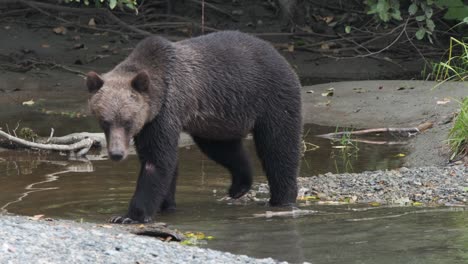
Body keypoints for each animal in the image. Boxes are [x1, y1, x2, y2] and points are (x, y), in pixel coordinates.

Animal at [86, 31, 302, 225]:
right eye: (105, 121)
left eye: (128, 121)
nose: (116, 154)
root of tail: (279, 54)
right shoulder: (151, 121)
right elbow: (166, 163)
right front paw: (166, 204)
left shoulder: (166, 111)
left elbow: (156, 161)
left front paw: (129, 216)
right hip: (217, 120)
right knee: (222, 149)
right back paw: (239, 185)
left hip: (272, 99)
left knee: (279, 148)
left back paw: (282, 199)